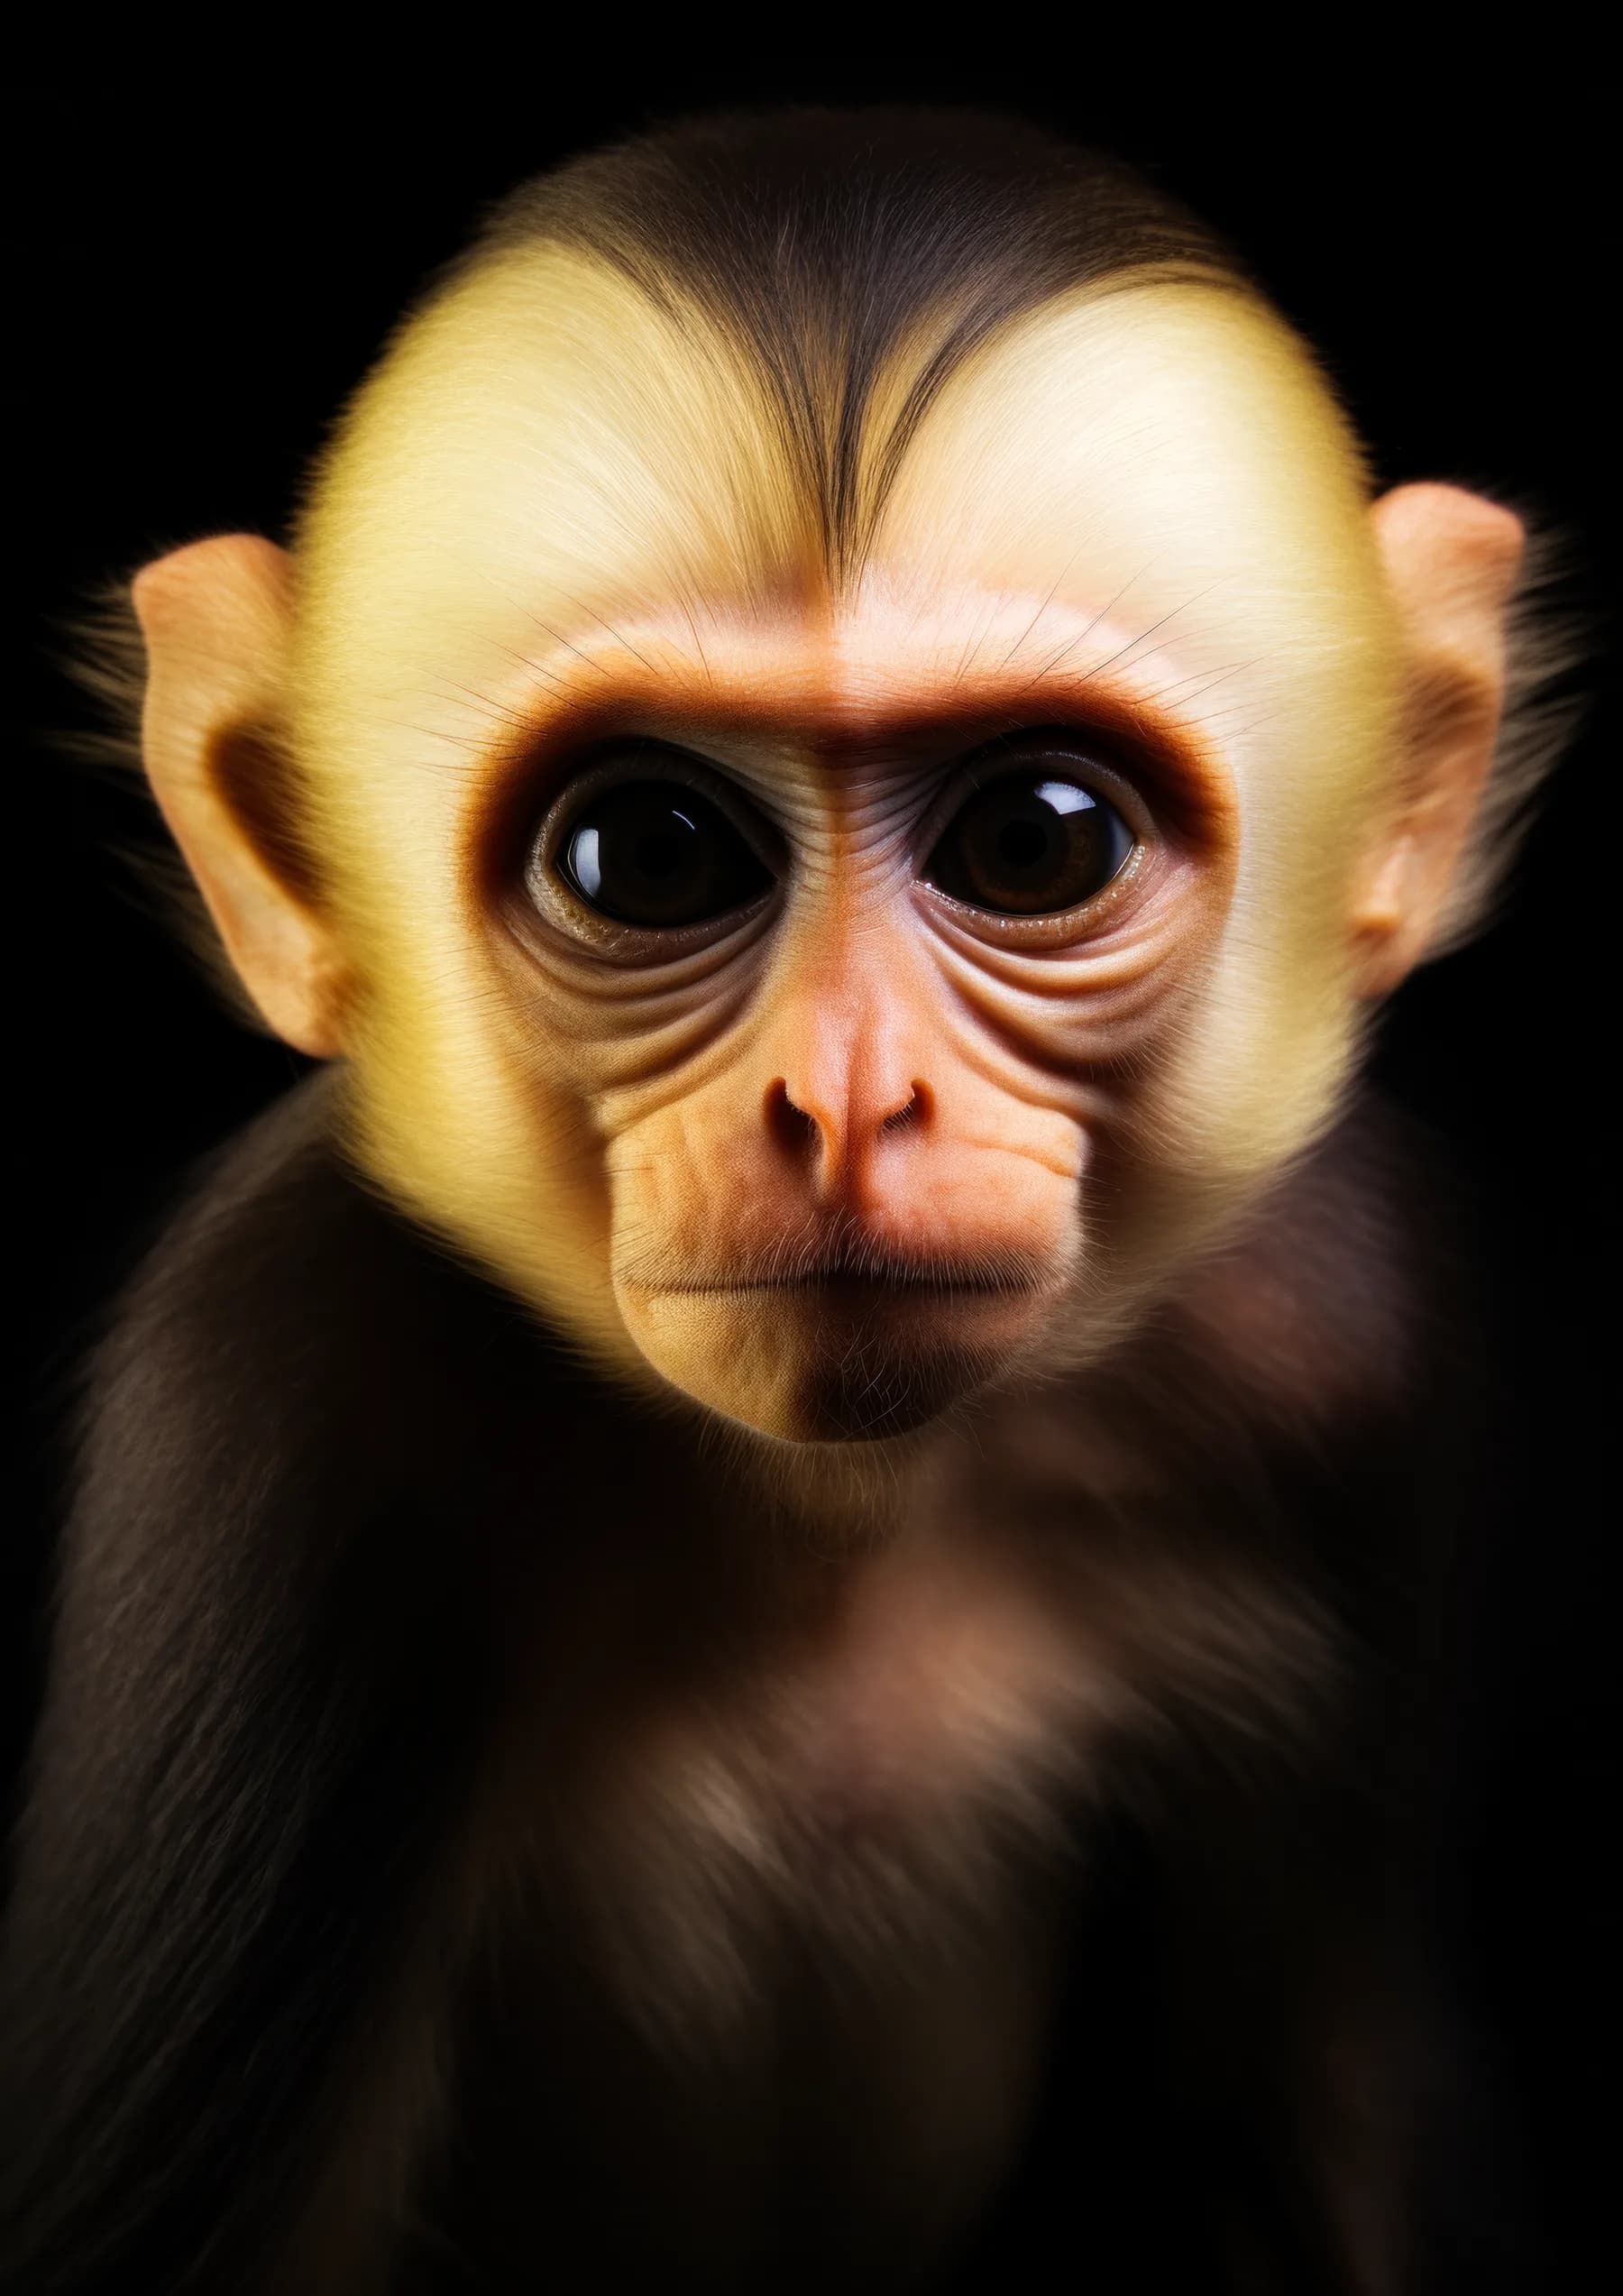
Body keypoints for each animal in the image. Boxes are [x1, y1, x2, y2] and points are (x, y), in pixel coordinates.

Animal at [1, 104, 1580, 2294]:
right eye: (648, 852)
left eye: (1039, 836)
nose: (842, 1106)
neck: (842, 1511)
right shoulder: (276, 1404)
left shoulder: (1355, 1339)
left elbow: (1339, 2081)